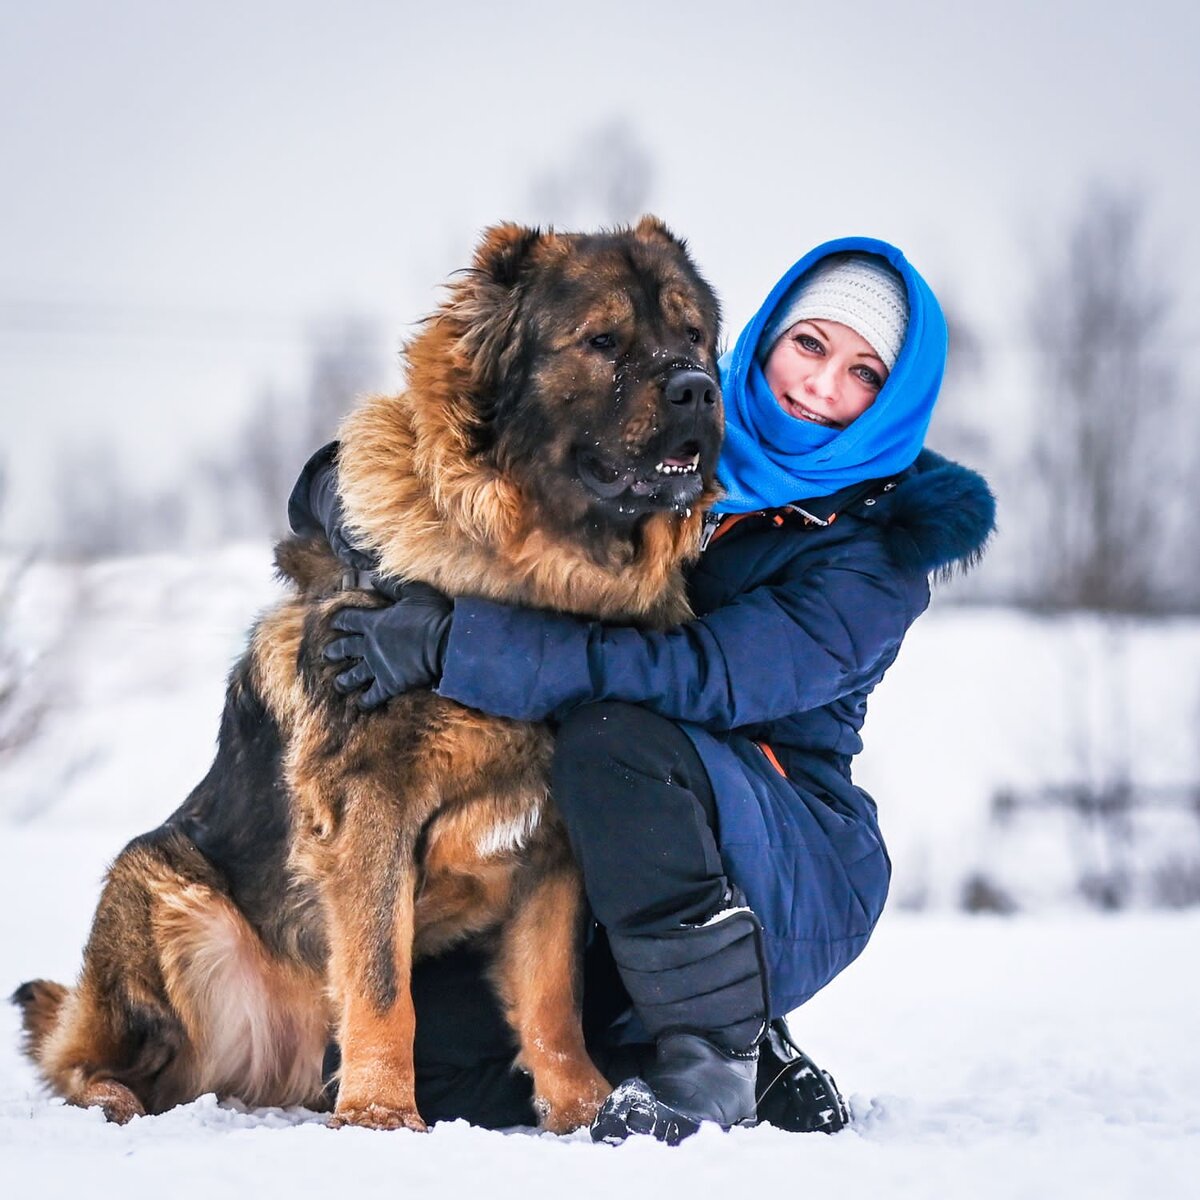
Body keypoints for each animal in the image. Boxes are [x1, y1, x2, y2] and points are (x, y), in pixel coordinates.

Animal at [11, 218, 720, 1132]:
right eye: (603, 342)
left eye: (692, 335)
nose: (699, 391)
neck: (532, 581)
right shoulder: (370, 801)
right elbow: (382, 979)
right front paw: (383, 1111)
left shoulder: (554, 842)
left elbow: (552, 996)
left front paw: (584, 1108)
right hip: (158, 883)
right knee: (84, 1057)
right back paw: (112, 1095)